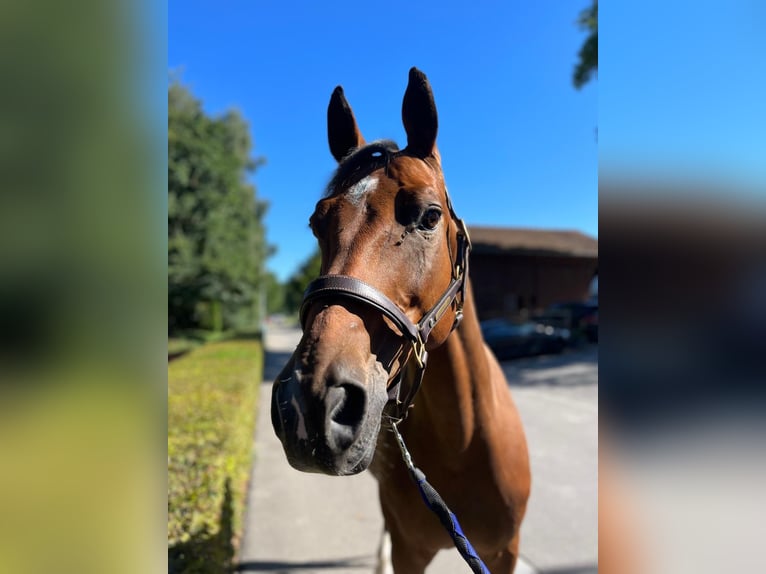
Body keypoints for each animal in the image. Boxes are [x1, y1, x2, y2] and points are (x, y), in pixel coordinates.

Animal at [272, 68, 532, 574]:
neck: (462, 444)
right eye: (317, 222)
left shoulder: (503, 553)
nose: (309, 402)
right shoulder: (410, 549)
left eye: (429, 215)